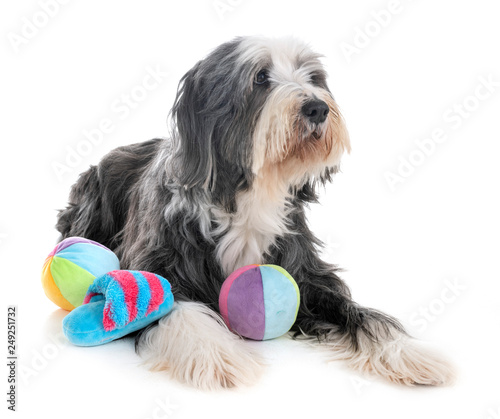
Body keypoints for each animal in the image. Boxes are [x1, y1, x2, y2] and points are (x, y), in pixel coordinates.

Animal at [56, 36, 456, 390]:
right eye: (260, 78)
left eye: (313, 77)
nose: (318, 108)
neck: (252, 191)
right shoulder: (157, 262)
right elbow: (178, 309)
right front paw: (215, 354)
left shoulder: (307, 274)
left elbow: (359, 313)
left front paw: (408, 351)